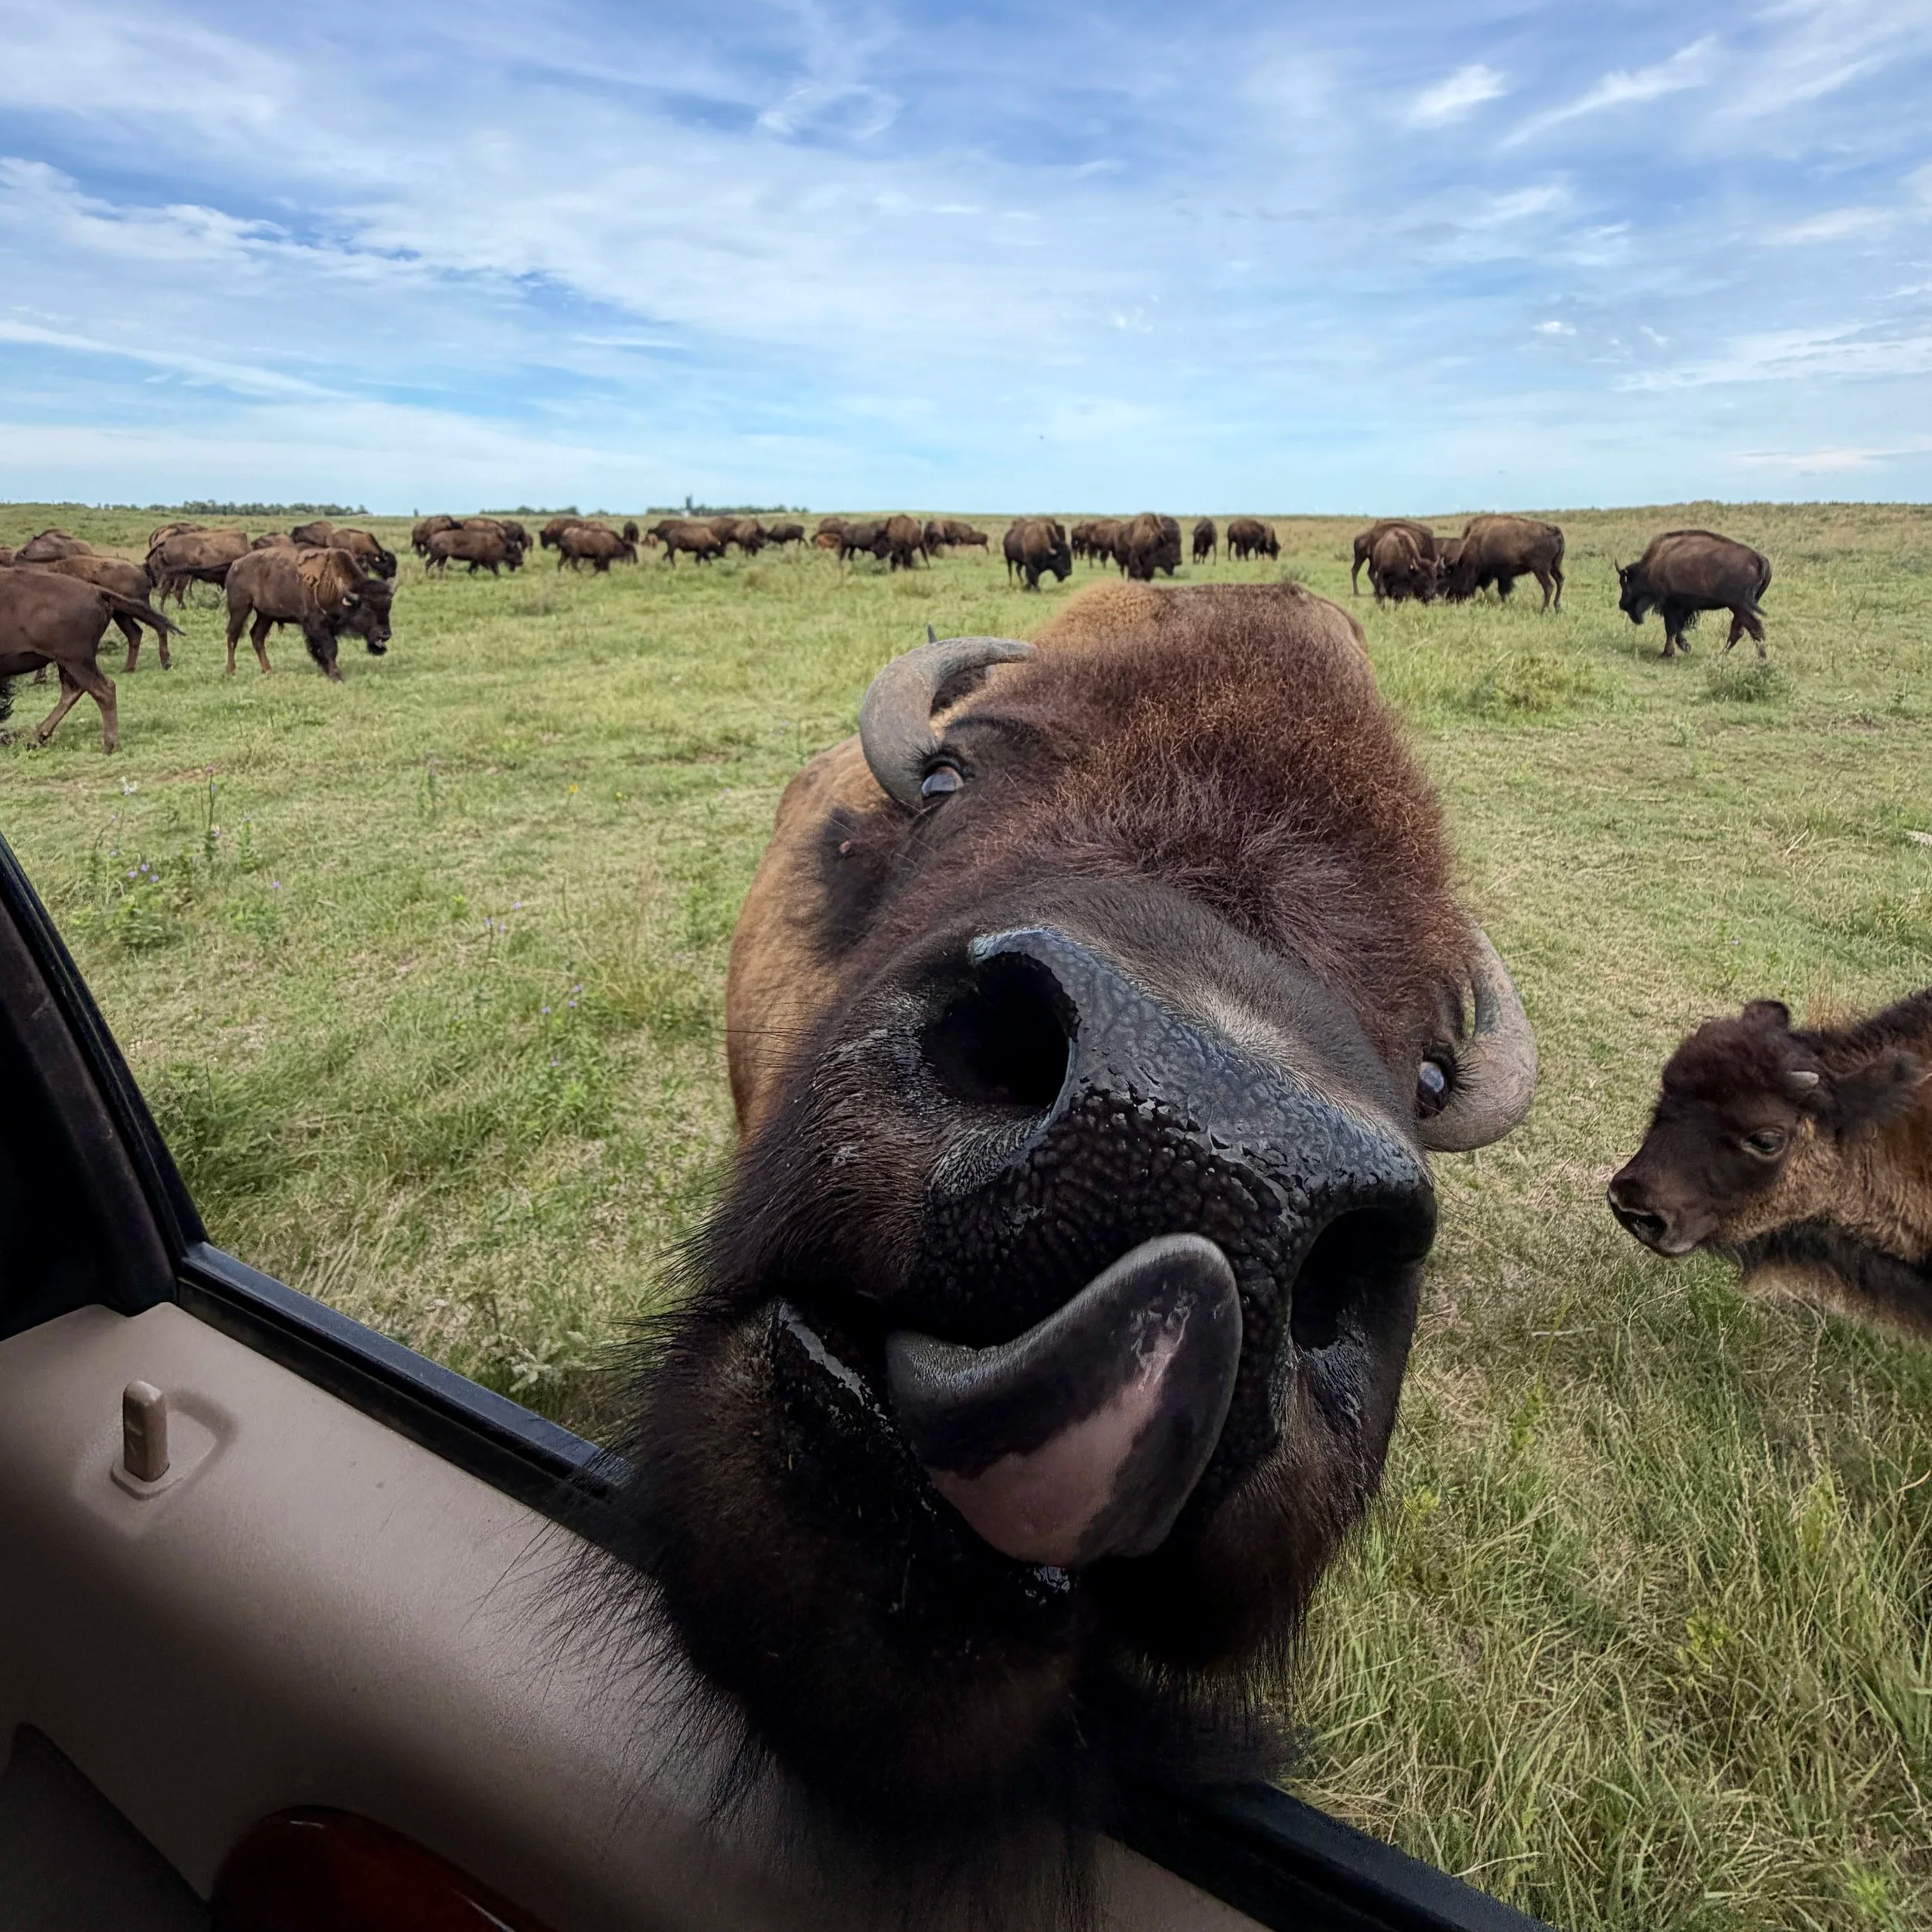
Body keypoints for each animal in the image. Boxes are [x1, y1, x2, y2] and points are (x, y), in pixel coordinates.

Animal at [0, 568, 176, 751]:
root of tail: (97, 591)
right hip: (66, 662)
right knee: (73, 690)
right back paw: (38, 737)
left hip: (75, 660)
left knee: (102, 689)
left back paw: (110, 745)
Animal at [224, 546, 391, 678]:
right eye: (367, 609)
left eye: (388, 607)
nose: (385, 634)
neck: (335, 584)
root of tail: (235, 565)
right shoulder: (317, 624)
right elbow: (330, 649)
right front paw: (336, 675)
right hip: (240, 608)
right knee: (233, 635)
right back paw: (231, 671)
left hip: (265, 615)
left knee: (257, 636)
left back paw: (268, 670)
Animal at [1441, 515, 1565, 610]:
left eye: (1452, 576)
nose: (1449, 599)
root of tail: (1555, 531)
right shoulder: (1503, 576)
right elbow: (1502, 591)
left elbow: (1501, 590)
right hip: (1554, 567)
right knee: (1560, 580)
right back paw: (1557, 607)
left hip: (1540, 570)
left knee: (1548, 587)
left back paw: (1543, 610)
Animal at [1617, 530, 1771, 660]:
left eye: (1626, 584)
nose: (1622, 605)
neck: (1653, 563)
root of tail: (1759, 559)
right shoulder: (1681, 606)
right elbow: (1675, 628)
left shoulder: (1670, 604)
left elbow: (1671, 628)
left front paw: (1670, 652)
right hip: (1740, 608)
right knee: (1739, 631)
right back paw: (1722, 655)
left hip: (1740, 607)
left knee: (1755, 629)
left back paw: (1761, 660)